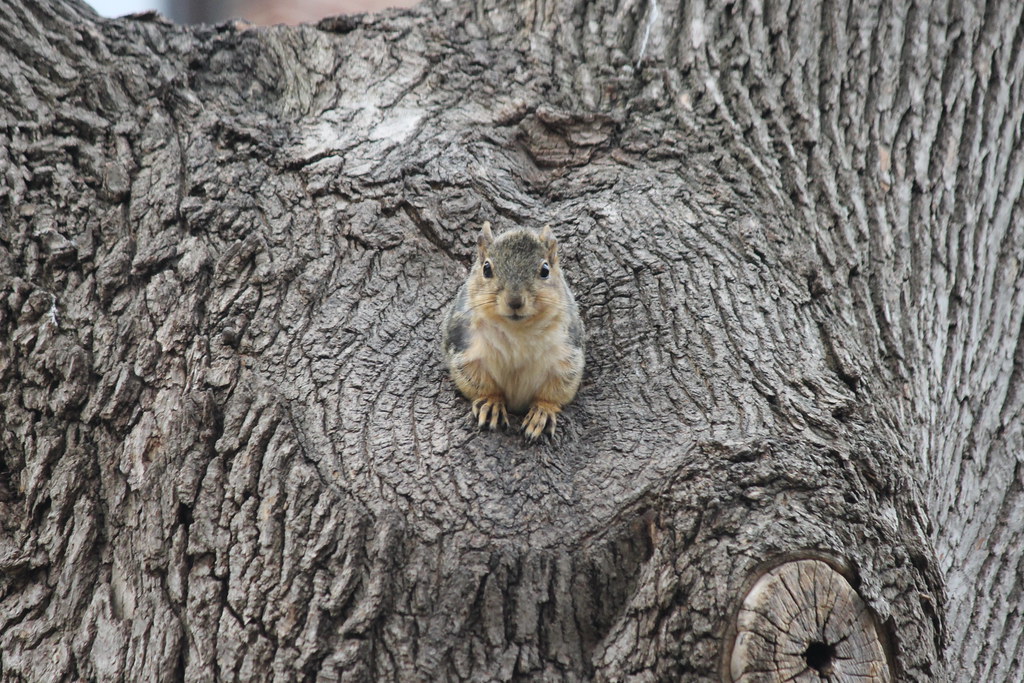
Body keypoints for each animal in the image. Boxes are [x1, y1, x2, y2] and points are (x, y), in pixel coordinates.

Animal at [442, 221, 585, 439]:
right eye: (486, 268)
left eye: (545, 270)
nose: (515, 301)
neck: (518, 329)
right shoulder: (465, 349)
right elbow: (479, 382)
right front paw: (491, 401)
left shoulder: (567, 355)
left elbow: (556, 390)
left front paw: (543, 411)